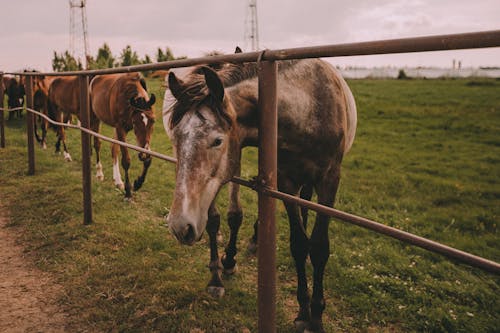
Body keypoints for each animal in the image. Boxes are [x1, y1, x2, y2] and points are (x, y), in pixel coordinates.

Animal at [166, 58, 358, 330]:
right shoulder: (286, 181)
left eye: (217, 141)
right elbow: (299, 244)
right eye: (176, 138)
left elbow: (319, 248)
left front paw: (316, 317)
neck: (309, 107)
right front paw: (303, 312)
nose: (179, 226)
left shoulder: (329, 182)